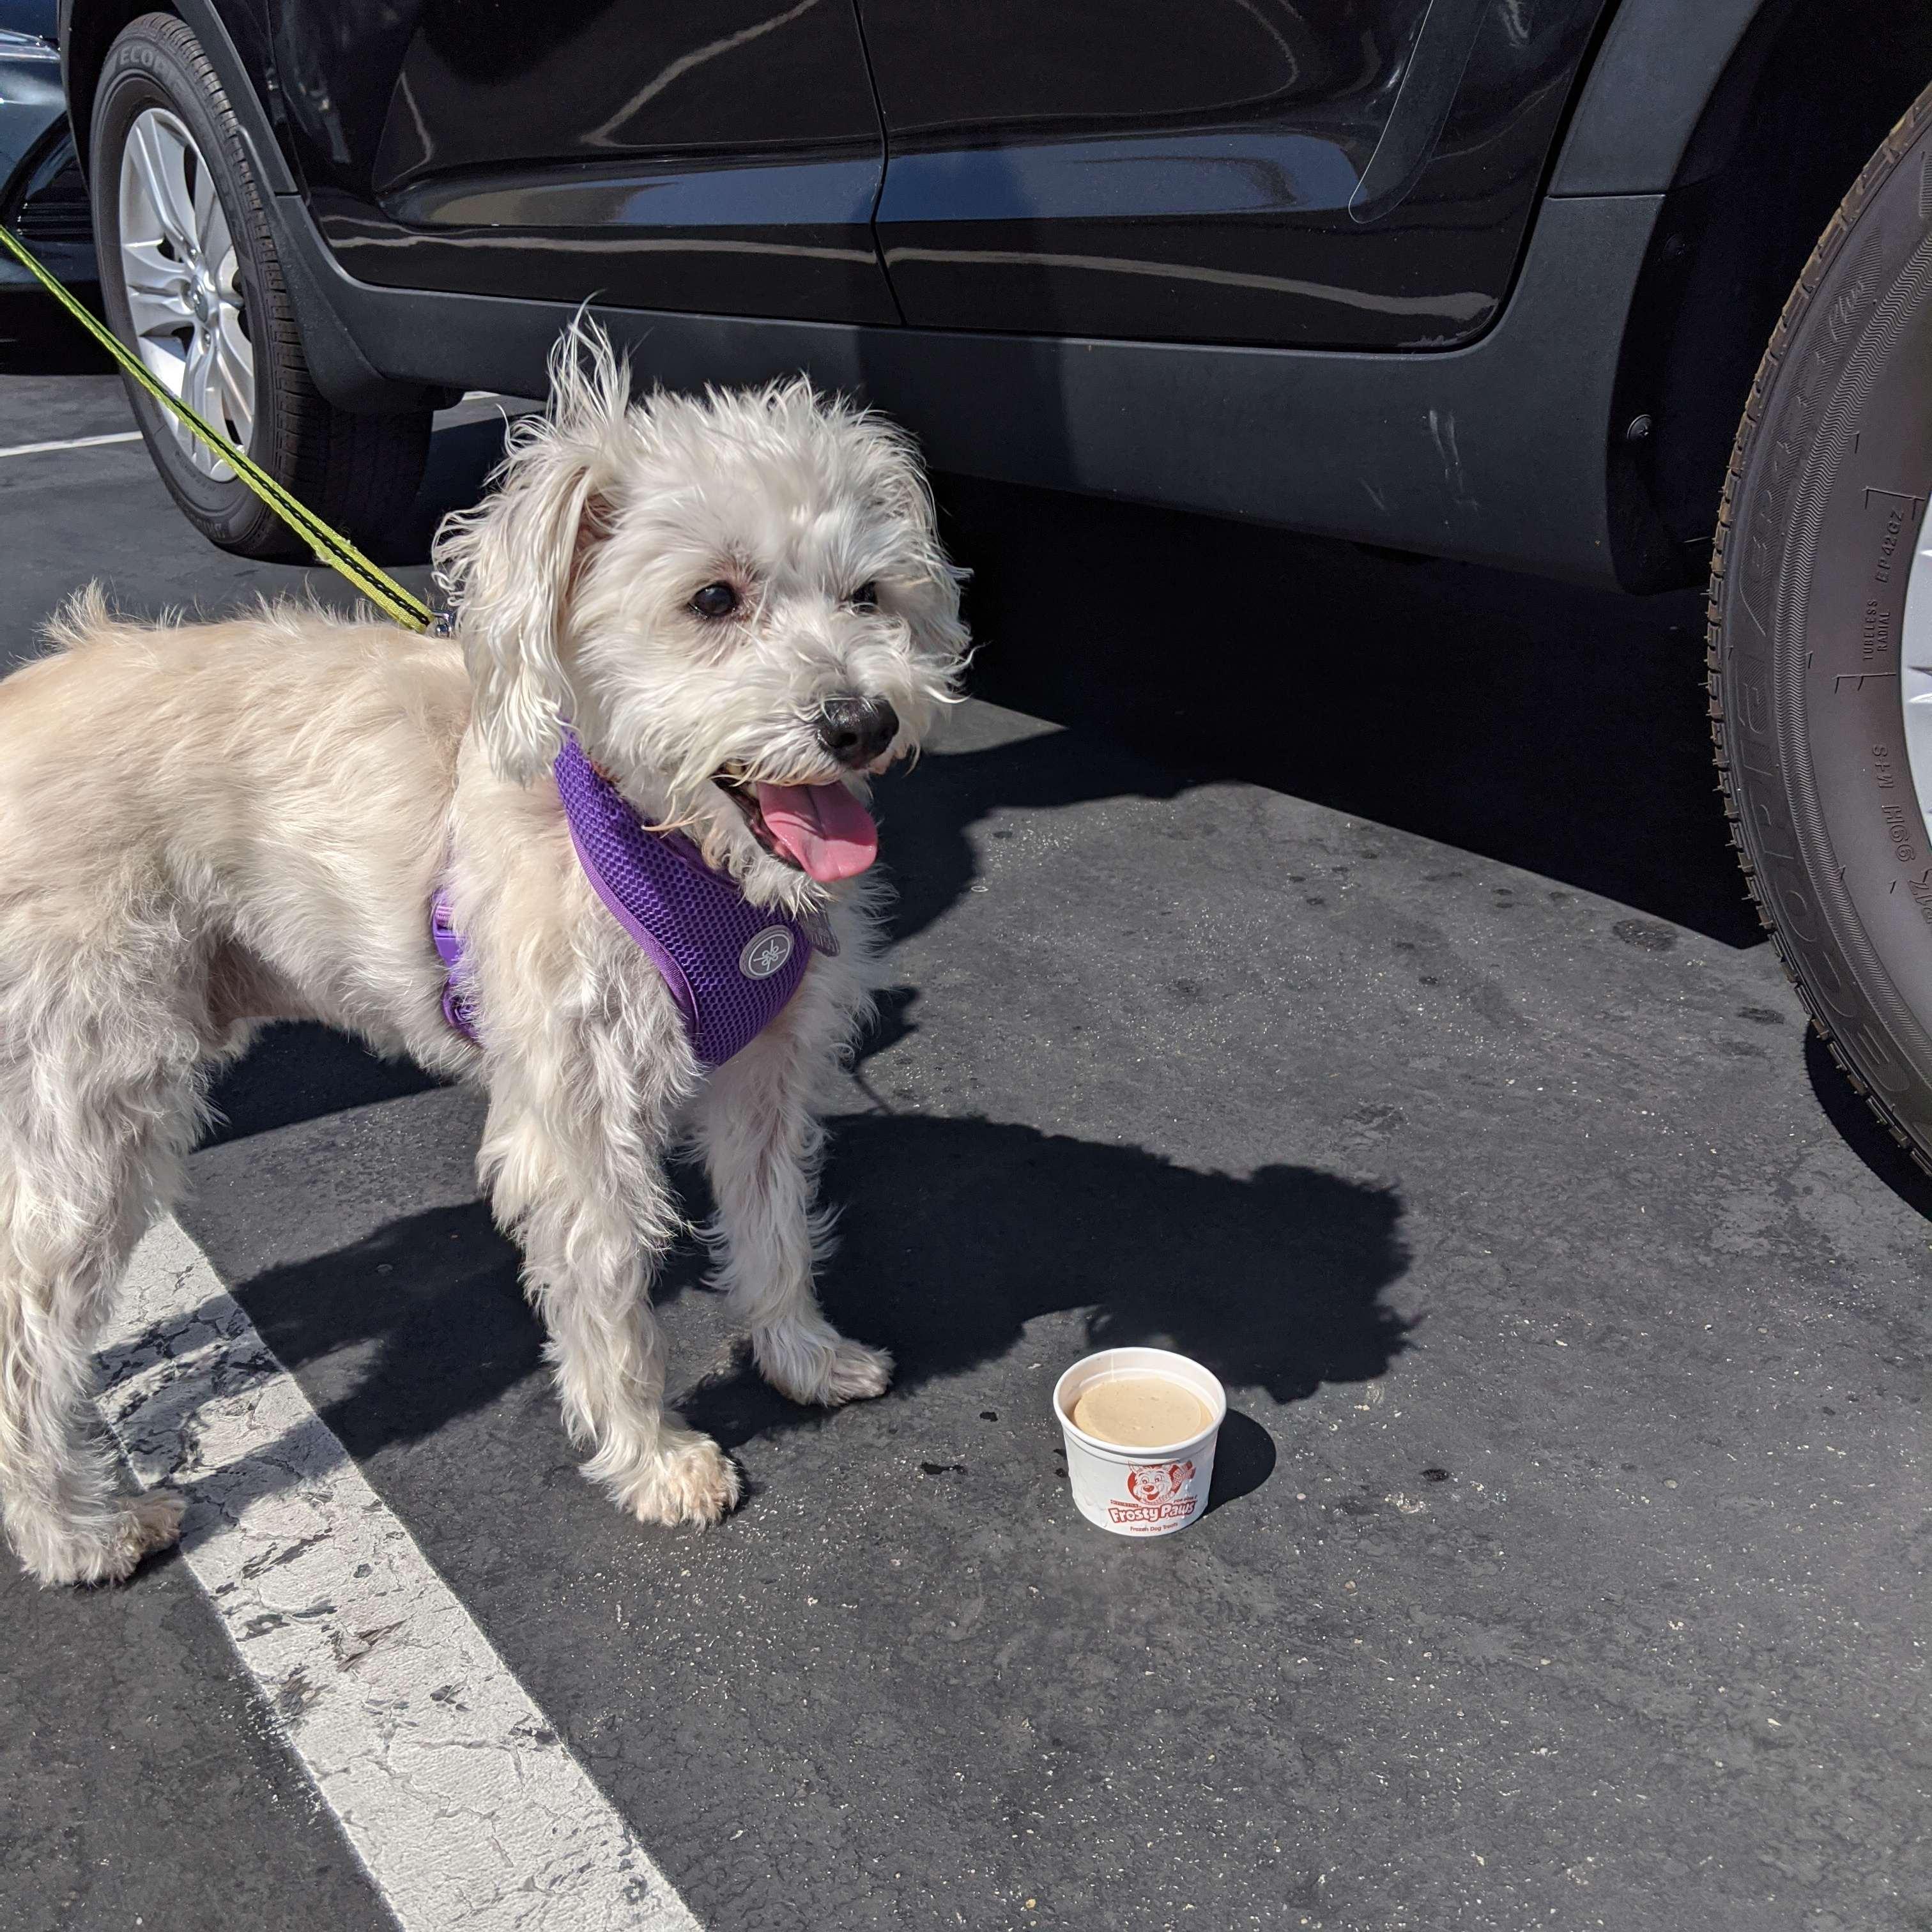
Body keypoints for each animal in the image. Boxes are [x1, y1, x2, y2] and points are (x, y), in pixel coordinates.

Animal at [0, 320, 966, 1584]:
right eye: (713, 598)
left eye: (868, 595)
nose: (862, 721)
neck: (670, 845)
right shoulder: (578, 1120)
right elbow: (611, 1298)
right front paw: (653, 1458)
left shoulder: (765, 1074)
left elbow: (773, 1226)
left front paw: (801, 1355)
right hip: (92, 1095)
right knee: (26, 1318)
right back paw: (77, 1530)